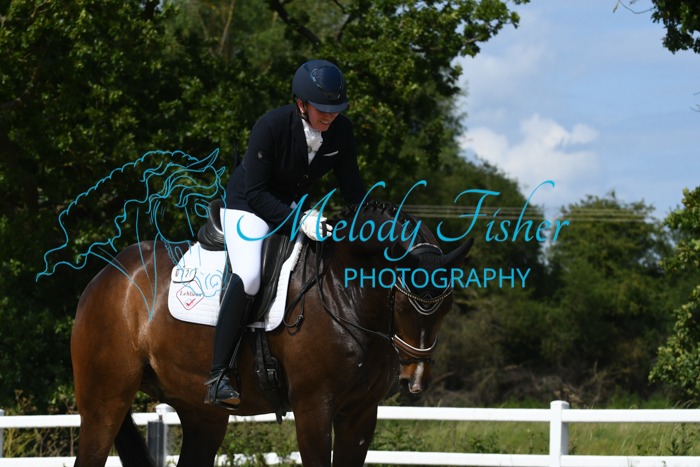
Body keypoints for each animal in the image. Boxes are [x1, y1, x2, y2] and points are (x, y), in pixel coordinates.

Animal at [70, 201, 474, 467]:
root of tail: (108, 274)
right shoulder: (313, 408)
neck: (343, 294)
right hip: (105, 401)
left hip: (202, 414)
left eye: (448, 307)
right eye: (403, 305)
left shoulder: (360, 413)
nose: (415, 381)